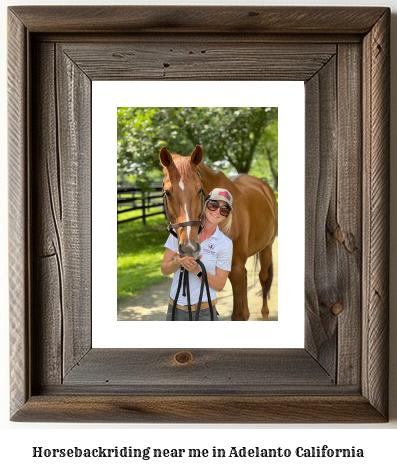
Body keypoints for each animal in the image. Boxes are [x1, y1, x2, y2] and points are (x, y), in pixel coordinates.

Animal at [159, 144, 276, 320]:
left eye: (200, 190)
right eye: (167, 192)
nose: (189, 248)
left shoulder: (236, 269)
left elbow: (239, 314)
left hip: (266, 248)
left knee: (264, 279)